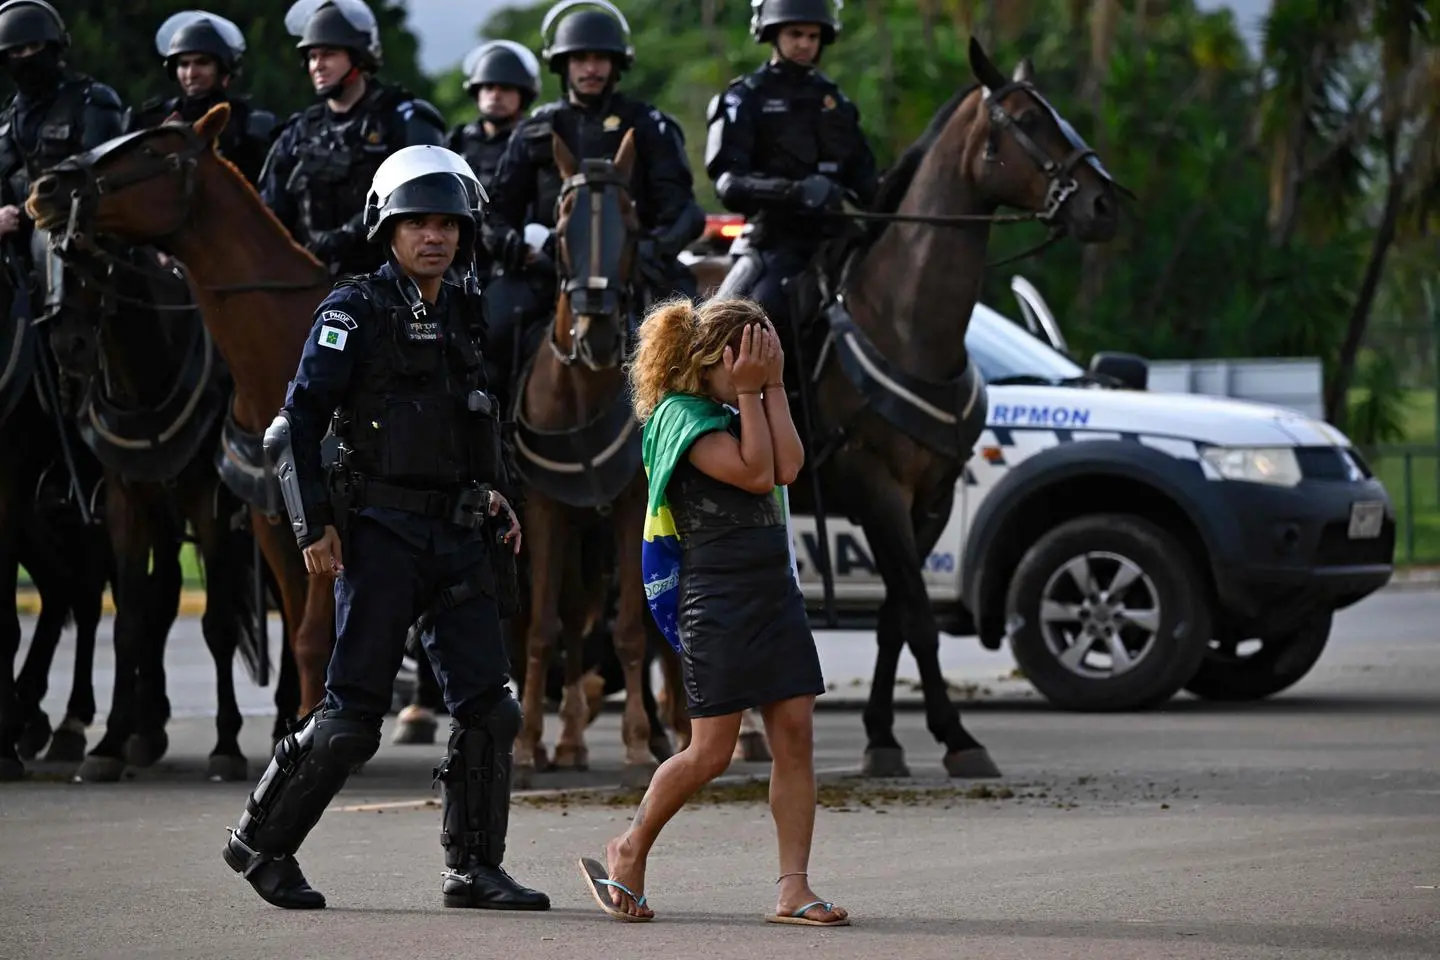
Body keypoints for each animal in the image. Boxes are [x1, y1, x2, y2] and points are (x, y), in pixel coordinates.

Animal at [748, 39, 1128, 782]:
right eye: (1025, 121)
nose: (1104, 203)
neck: (905, 324)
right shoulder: (876, 489)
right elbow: (921, 618)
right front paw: (956, 735)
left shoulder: (932, 497)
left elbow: (898, 616)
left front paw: (885, 735)